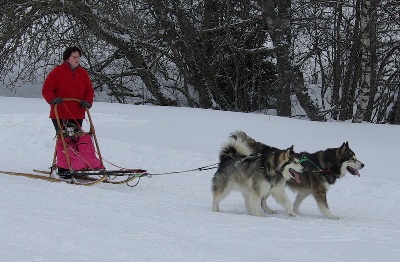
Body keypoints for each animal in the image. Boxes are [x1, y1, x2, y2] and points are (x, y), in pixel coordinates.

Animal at [231, 130, 366, 219]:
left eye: (356, 158)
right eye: (352, 159)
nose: (363, 165)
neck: (325, 166)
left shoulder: (305, 190)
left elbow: (297, 202)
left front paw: (295, 212)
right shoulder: (320, 192)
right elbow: (325, 207)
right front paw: (331, 216)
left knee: (263, 200)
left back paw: (268, 210)